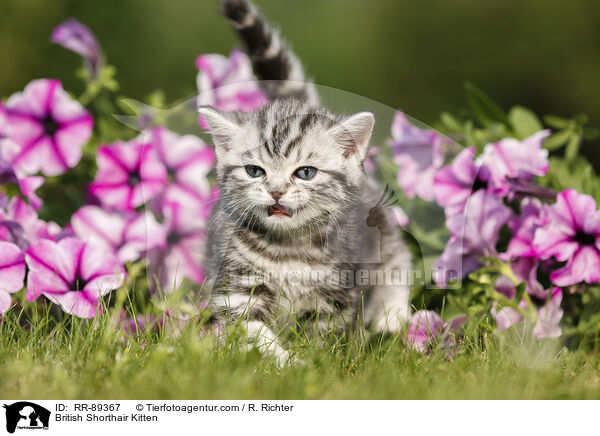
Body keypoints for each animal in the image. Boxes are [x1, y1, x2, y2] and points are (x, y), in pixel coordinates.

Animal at [198, 0, 412, 362]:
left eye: (305, 172)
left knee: (397, 267)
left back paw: (390, 322)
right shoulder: (236, 290)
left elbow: (322, 338)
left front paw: (315, 362)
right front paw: (286, 363)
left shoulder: (335, 294)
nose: (276, 191)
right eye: (255, 171)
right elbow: (255, 333)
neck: (287, 251)